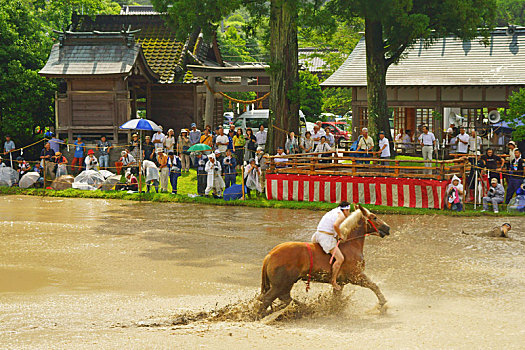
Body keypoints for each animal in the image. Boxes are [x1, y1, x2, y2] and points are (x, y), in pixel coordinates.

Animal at [258, 204, 388, 314]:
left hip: (286, 283)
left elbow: (336, 297)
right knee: (267, 299)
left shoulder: (341, 283)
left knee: (284, 298)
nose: (387, 228)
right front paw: (383, 304)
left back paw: (305, 307)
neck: (350, 244)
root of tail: (270, 255)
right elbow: (374, 286)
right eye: (374, 217)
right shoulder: (356, 276)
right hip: (280, 285)